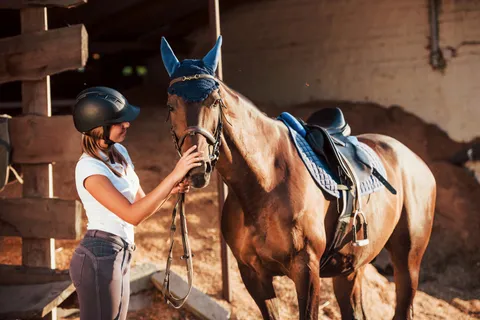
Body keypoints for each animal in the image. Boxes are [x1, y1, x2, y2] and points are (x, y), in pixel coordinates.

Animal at [160, 37, 436, 318]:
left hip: (408, 262)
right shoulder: (252, 273)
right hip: (350, 269)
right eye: (171, 105)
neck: (264, 183)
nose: (197, 168)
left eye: (215, 101)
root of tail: (417, 162)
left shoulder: (306, 270)